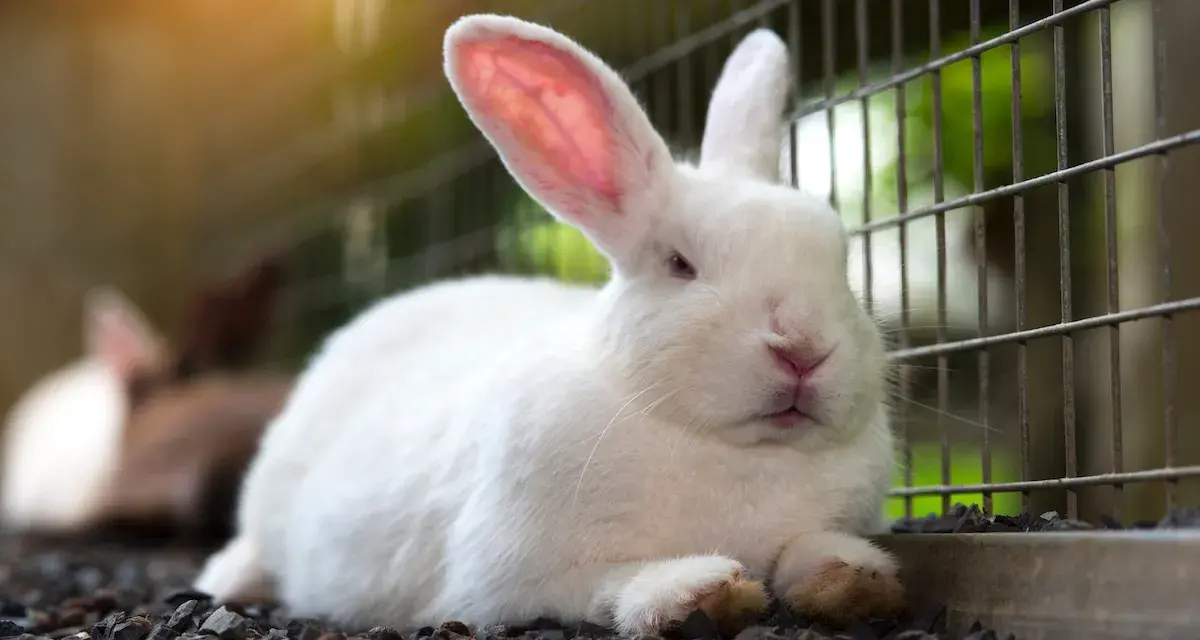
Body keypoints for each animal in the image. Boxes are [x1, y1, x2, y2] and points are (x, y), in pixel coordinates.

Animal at [193, 16, 902, 636]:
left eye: (839, 260)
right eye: (679, 264)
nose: (804, 350)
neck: (734, 452)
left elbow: (809, 549)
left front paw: (854, 580)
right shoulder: (512, 580)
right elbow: (607, 585)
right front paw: (697, 591)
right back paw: (233, 579)